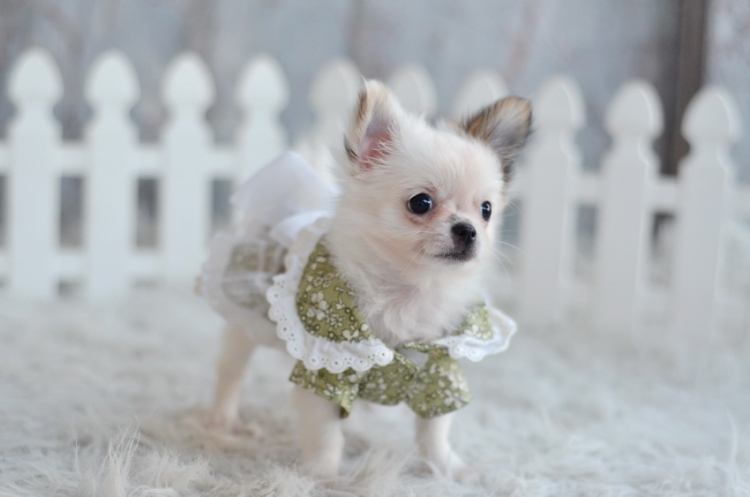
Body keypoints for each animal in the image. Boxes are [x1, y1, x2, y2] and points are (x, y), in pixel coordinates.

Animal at [200, 80, 531, 480]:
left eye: (486, 210)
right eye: (420, 203)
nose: (468, 230)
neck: (410, 288)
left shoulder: (439, 369)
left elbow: (434, 428)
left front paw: (447, 468)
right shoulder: (324, 370)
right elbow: (325, 431)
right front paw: (321, 474)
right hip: (243, 315)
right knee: (231, 370)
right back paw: (222, 418)